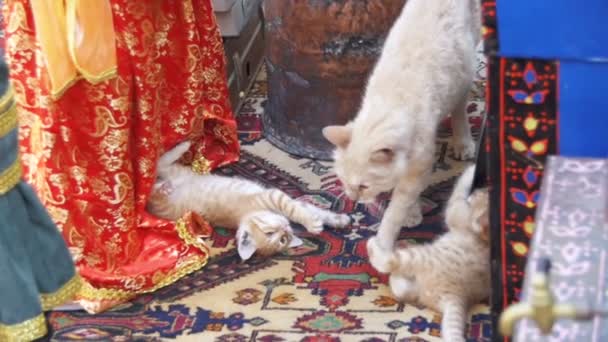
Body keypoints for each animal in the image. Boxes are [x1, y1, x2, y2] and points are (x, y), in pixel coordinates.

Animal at [146, 141, 352, 260]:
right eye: (274, 236)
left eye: (282, 238)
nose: (285, 228)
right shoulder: (274, 196)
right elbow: (300, 211)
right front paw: (314, 224)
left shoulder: (282, 200)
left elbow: (312, 210)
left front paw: (337, 219)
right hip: (166, 186)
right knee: (158, 170)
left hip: (178, 173)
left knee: (160, 163)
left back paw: (182, 147)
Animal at [320, 0, 482, 251]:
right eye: (343, 180)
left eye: (363, 186)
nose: (353, 199)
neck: (390, 103)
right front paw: (413, 213)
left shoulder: (419, 167)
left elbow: (395, 211)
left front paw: (383, 244)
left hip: (466, 68)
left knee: (460, 108)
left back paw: (463, 142)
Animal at [366, 164, 490, 340]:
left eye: (480, 195)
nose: (476, 192)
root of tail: (459, 296)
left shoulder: (455, 211)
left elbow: (459, 189)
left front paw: (470, 170)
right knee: (403, 289)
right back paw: (394, 277)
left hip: (416, 257)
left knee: (388, 263)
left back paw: (374, 247)